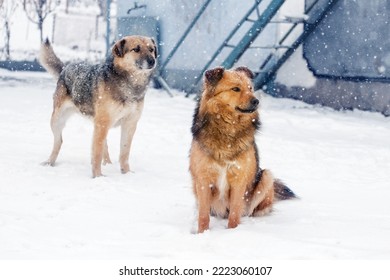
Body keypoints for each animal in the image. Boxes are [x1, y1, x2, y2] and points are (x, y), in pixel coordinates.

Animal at [38, 35, 156, 177]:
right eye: (136, 49)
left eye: (151, 49)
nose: (152, 61)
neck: (130, 84)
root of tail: (65, 68)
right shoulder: (103, 123)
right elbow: (97, 152)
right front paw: (98, 176)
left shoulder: (129, 124)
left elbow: (124, 153)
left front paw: (126, 173)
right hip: (57, 120)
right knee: (59, 141)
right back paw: (50, 162)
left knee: (102, 145)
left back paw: (108, 163)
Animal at [190, 66, 296, 233]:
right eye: (235, 89)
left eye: (250, 88)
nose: (256, 101)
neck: (228, 130)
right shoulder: (203, 180)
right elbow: (203, 215)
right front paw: (202, 233)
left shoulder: (238, 180)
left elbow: (234, 214)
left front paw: (233, 233)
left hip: (266, 176)